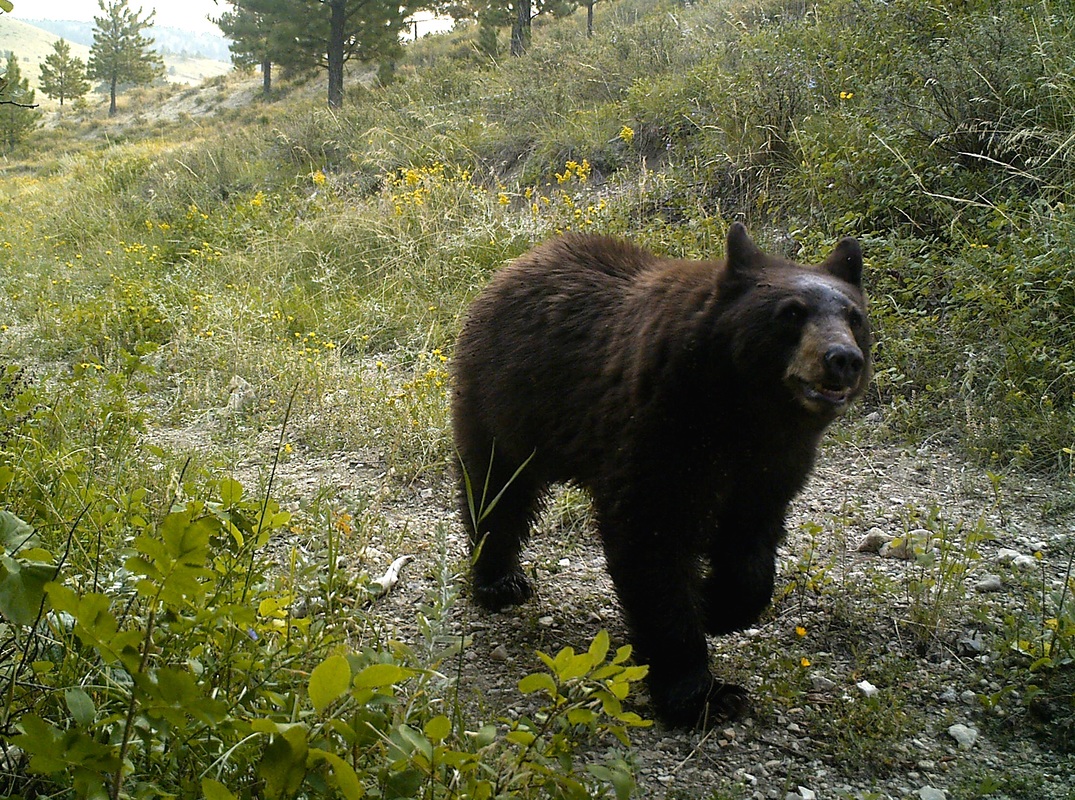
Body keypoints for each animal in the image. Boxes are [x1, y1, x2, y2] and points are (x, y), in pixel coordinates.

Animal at [449, 221, 868, 726]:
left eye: (855, 317)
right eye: (791, 312)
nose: (842, 358)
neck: (743, 410)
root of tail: (515, 265)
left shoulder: (773, 463)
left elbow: (752, 545)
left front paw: (718, 606)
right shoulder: (659, 425)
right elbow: (652, 542)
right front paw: (700, 693)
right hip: (505, 398)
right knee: (496, 489)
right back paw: (498, 580)